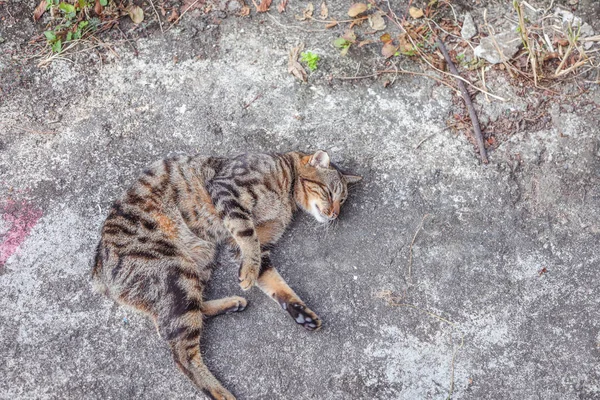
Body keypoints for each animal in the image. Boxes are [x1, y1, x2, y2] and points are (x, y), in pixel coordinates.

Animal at [89, 151, 360, 400]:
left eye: (342, 200)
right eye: (330, 193)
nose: (335, 214)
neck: (286, 189)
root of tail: (98, 271)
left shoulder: (262, 245)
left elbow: (276, 283)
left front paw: (299, 311)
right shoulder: (228, 191)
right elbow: (247, 236)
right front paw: (248, 272)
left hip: (198, 263)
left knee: (184, 314)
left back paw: (230, 304)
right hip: (175, 272)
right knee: (182, 354)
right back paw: (221, 393)